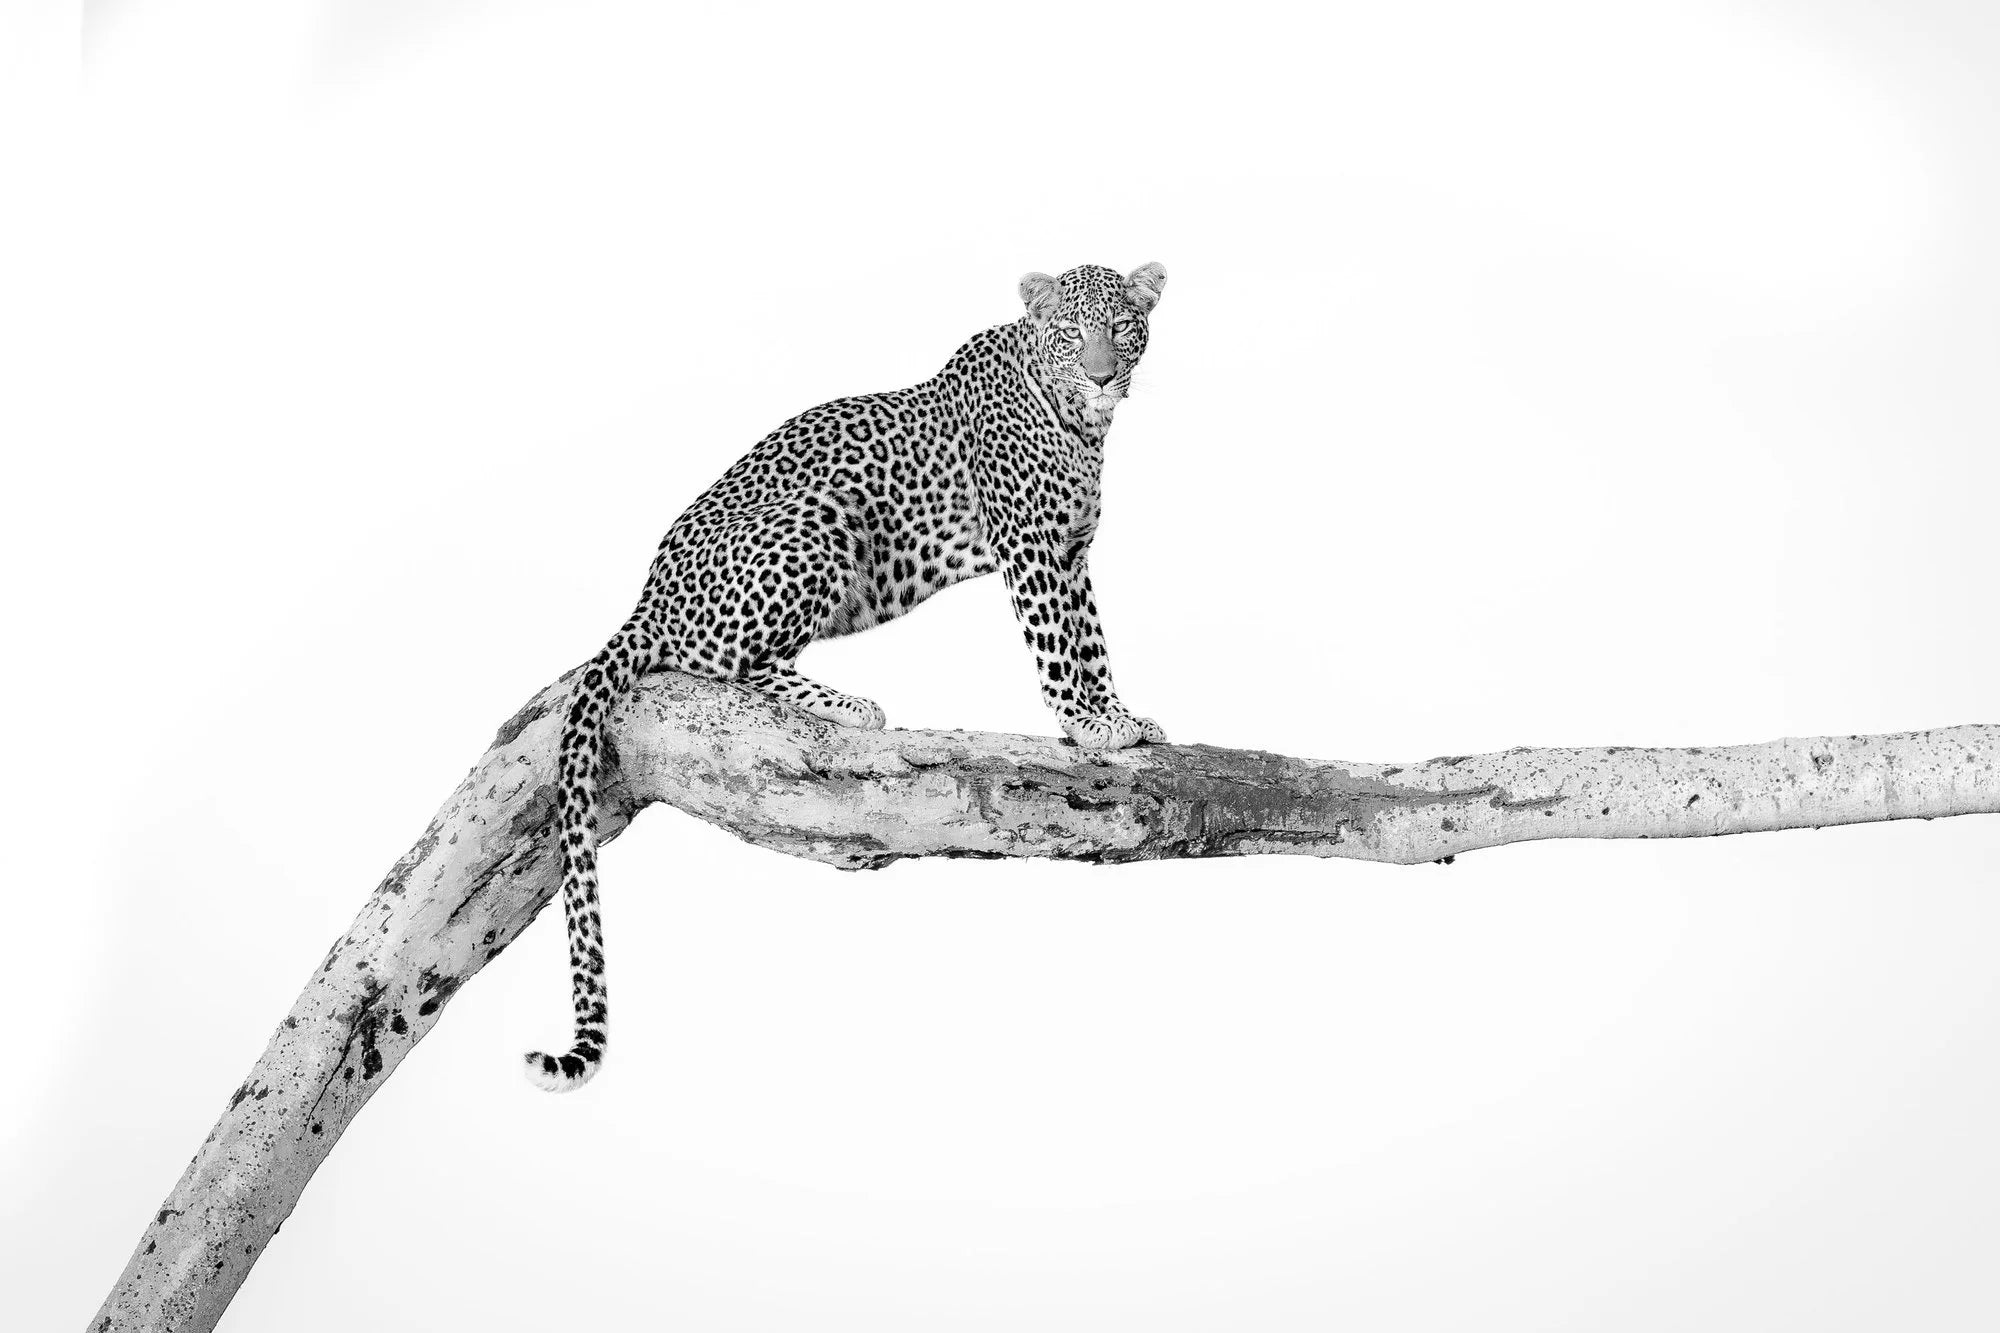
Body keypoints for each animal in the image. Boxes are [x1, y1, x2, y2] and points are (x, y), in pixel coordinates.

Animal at [526, 262, 1170, 1091]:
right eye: (1069, 333)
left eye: (1121, 327)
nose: (1101, 374)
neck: (1078, 423)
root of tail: (648, 596)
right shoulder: (1030, 546)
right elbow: (1058, 644)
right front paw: (1087, 724)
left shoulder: (1071, 552)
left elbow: (1092, 642)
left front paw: (1119, 715)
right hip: (820, 516)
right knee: (720, 660)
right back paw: (846, 704)